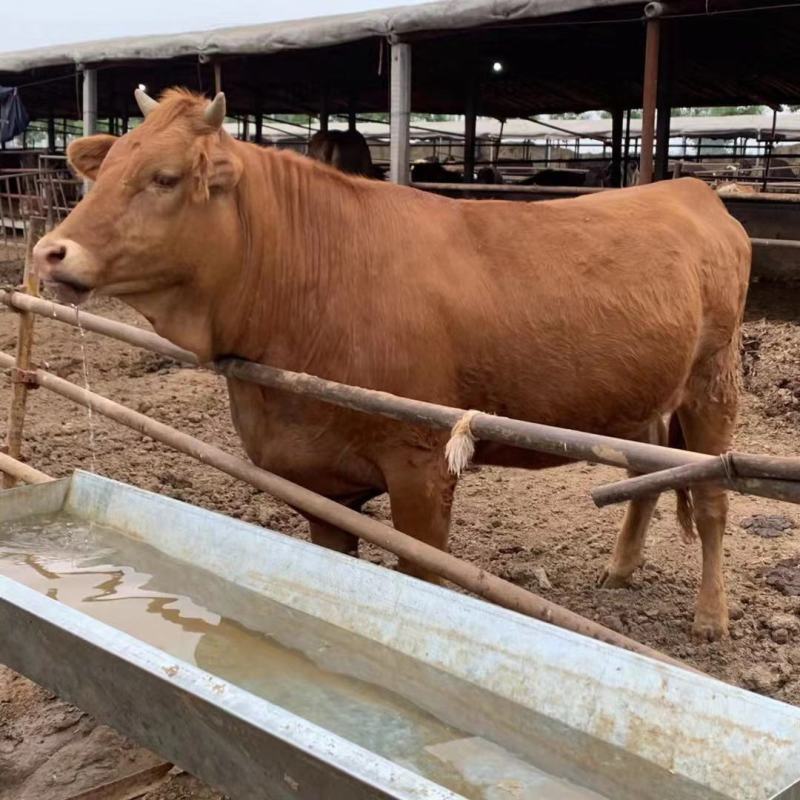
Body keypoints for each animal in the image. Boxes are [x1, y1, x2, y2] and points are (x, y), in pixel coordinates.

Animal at [36, 89, 752, 636]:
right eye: (103, 169)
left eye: (164, 177)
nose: (50, 252)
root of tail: (691, 189)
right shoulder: (318, 481)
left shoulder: (421, 464)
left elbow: (425, 574)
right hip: (641, 399)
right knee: (648, 470)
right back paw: (621, 568)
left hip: (713, 382)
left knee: (712, 500)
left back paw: (710, 617)